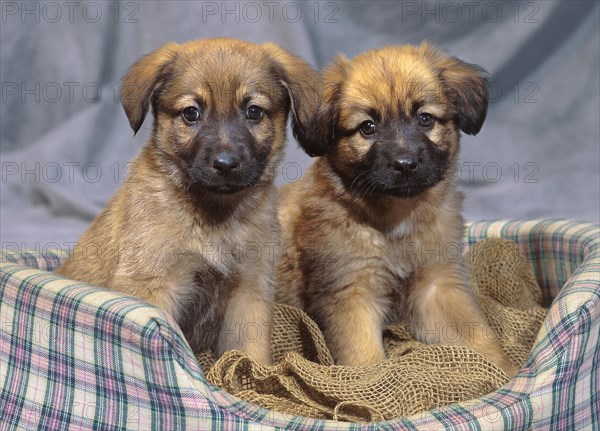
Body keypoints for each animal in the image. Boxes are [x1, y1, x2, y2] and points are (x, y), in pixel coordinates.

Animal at [57, 38, 318, 366]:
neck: (214, 216)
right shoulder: (152, 283)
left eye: (254, 112)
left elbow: (250, 354)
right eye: (191, 113)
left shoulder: (250, 291)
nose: (225, 164)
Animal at [276, 42, 516, 376]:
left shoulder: (437, 285)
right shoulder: (351, 293)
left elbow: (476, 335)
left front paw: (509, 374)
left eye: (425, 119)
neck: (396, 220)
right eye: (368, 127)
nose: (405, 165)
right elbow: (365, 360)